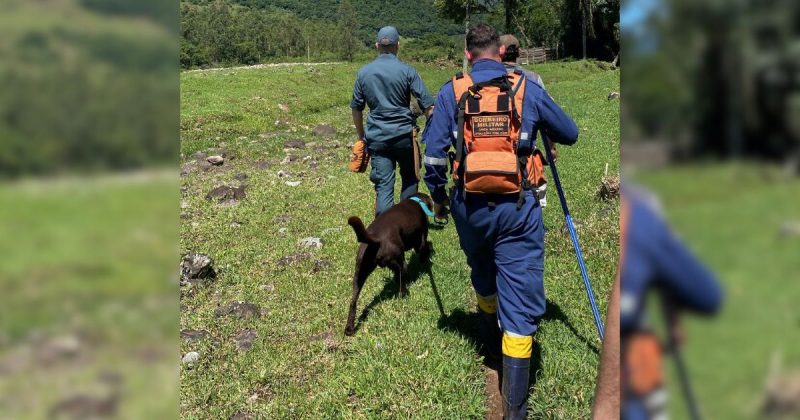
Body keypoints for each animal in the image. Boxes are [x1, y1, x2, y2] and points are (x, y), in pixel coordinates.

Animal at [342, 192, 434, 336]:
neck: (416, 201)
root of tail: (375, 238)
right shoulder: (420, 241)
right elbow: (425, 247)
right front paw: (427, 257)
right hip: (400, 263)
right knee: (401, 282)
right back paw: (404, 294)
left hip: (359, 274)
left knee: (353, 302)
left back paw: (349, 328)